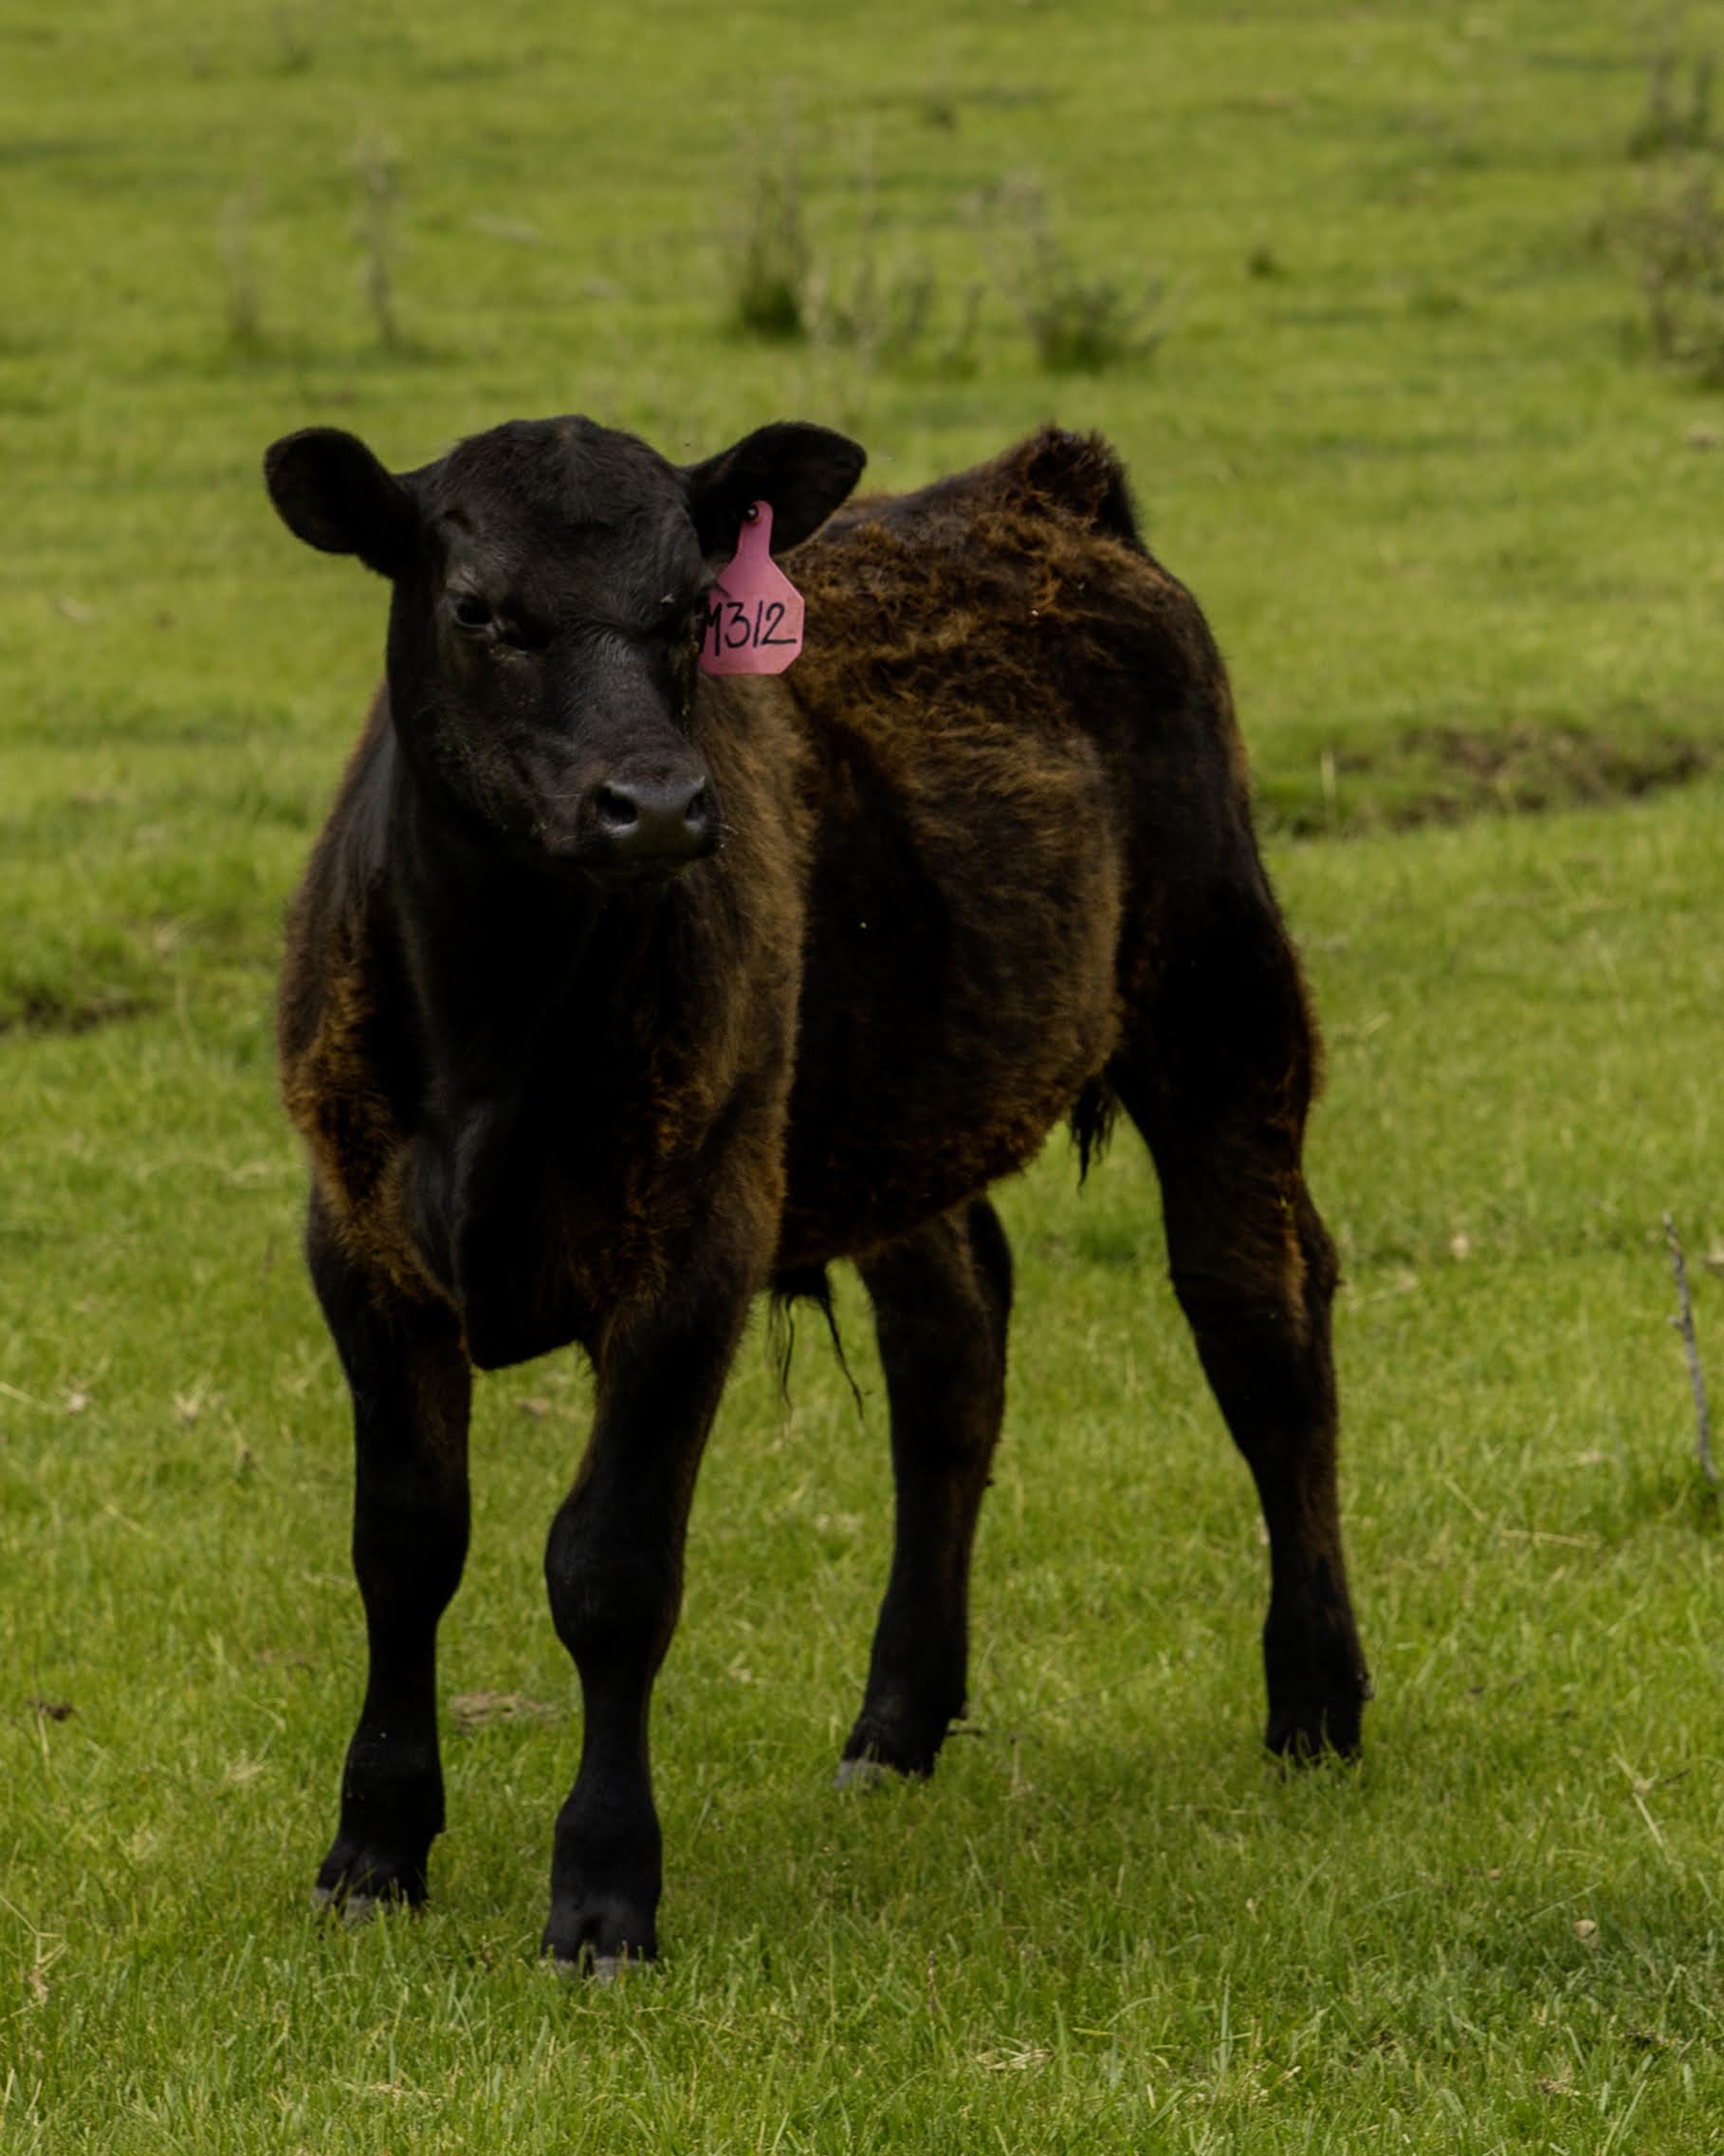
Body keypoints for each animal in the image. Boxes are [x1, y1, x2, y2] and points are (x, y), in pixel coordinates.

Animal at [263, 411, 1370, 1975]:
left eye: (690, 610)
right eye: (477, 608)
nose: (658, 805)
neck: (495, 1029)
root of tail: (1038, 484)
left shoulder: (694, 1242)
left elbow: (608, 1571)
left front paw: (602, 1894)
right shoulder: (357, 1240)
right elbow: (405, 1544)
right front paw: (373, 1848)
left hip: (1221, 999)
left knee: (1261, 1323)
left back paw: (1314, 1698)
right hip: (902, 1108)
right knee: (952, 1352)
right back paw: (897, 1721)